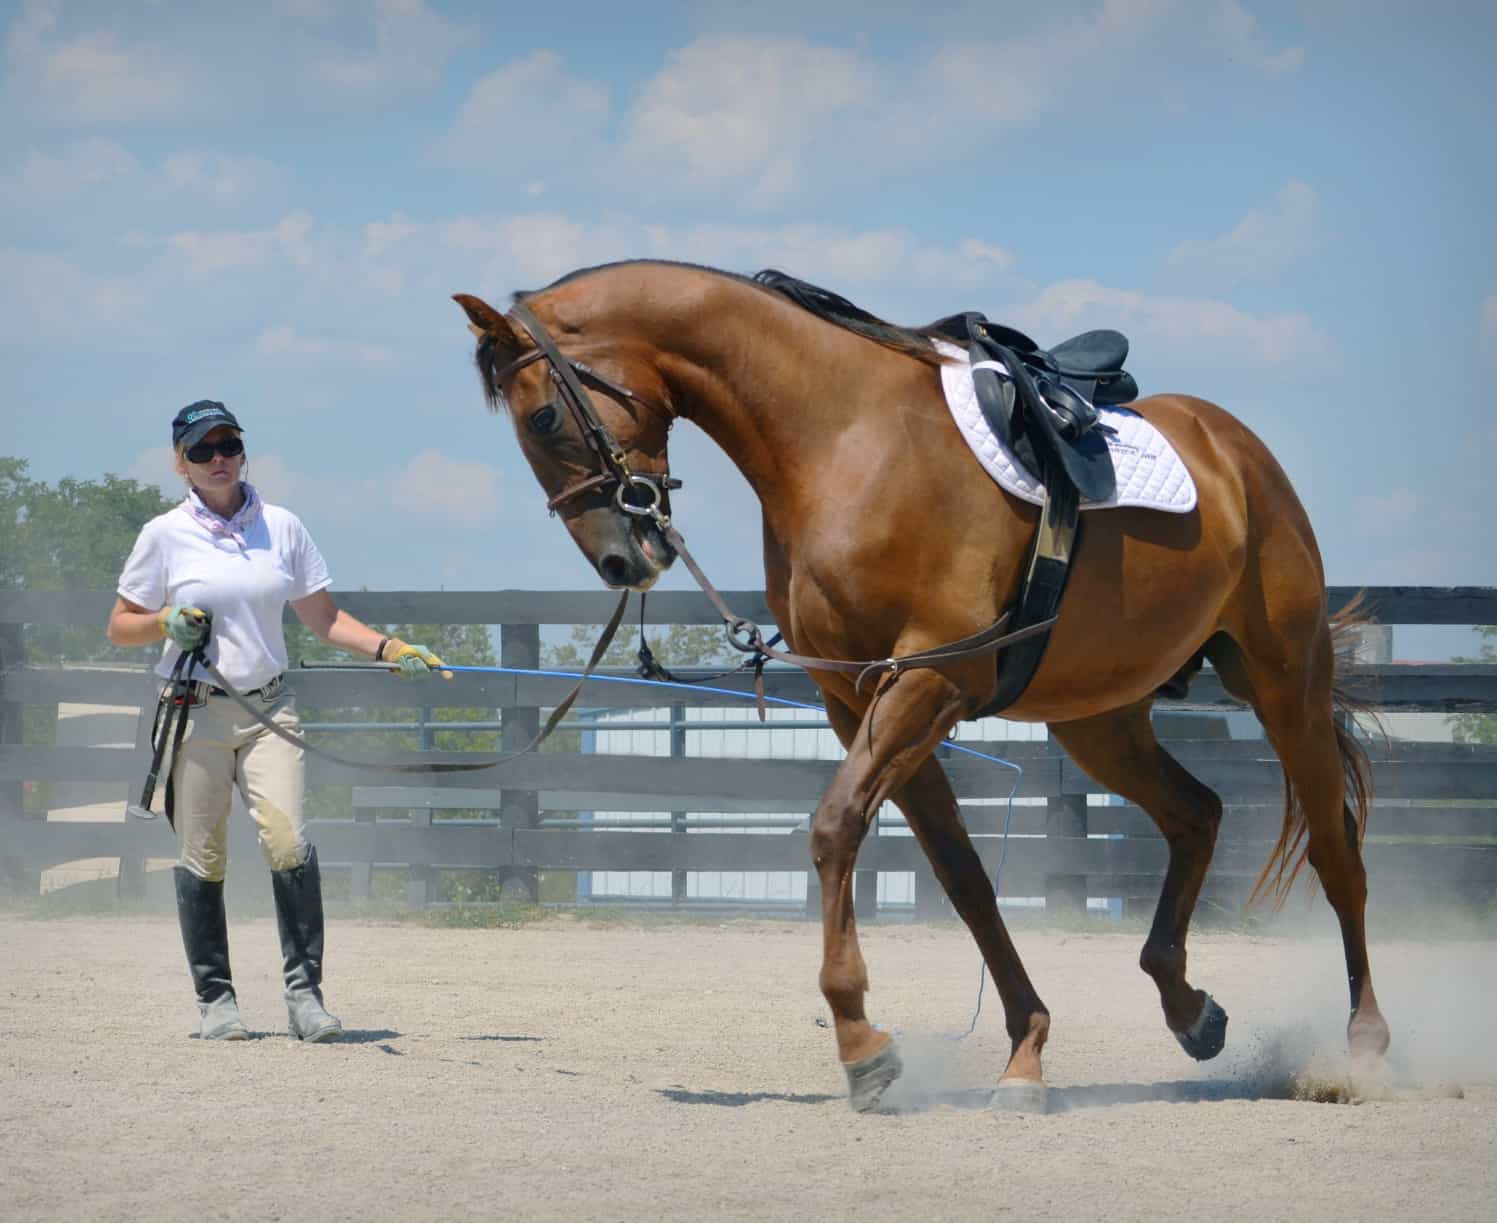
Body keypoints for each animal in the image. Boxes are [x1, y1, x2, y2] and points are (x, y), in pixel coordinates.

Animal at [449, 261, 1383, 1113]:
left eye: (542, 415)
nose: (620, 560)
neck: (842, 438)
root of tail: (1236, 450)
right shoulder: (858, 700)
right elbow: (960, 876)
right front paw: (1024, 1052)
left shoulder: (929, 679)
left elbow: (835, 829)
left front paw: (862, 1043)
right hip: (1099, 717)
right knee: (1195, 813)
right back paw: (1188, 1008)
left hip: (1285, 681)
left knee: (1334, 851)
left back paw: (1362, 1044)